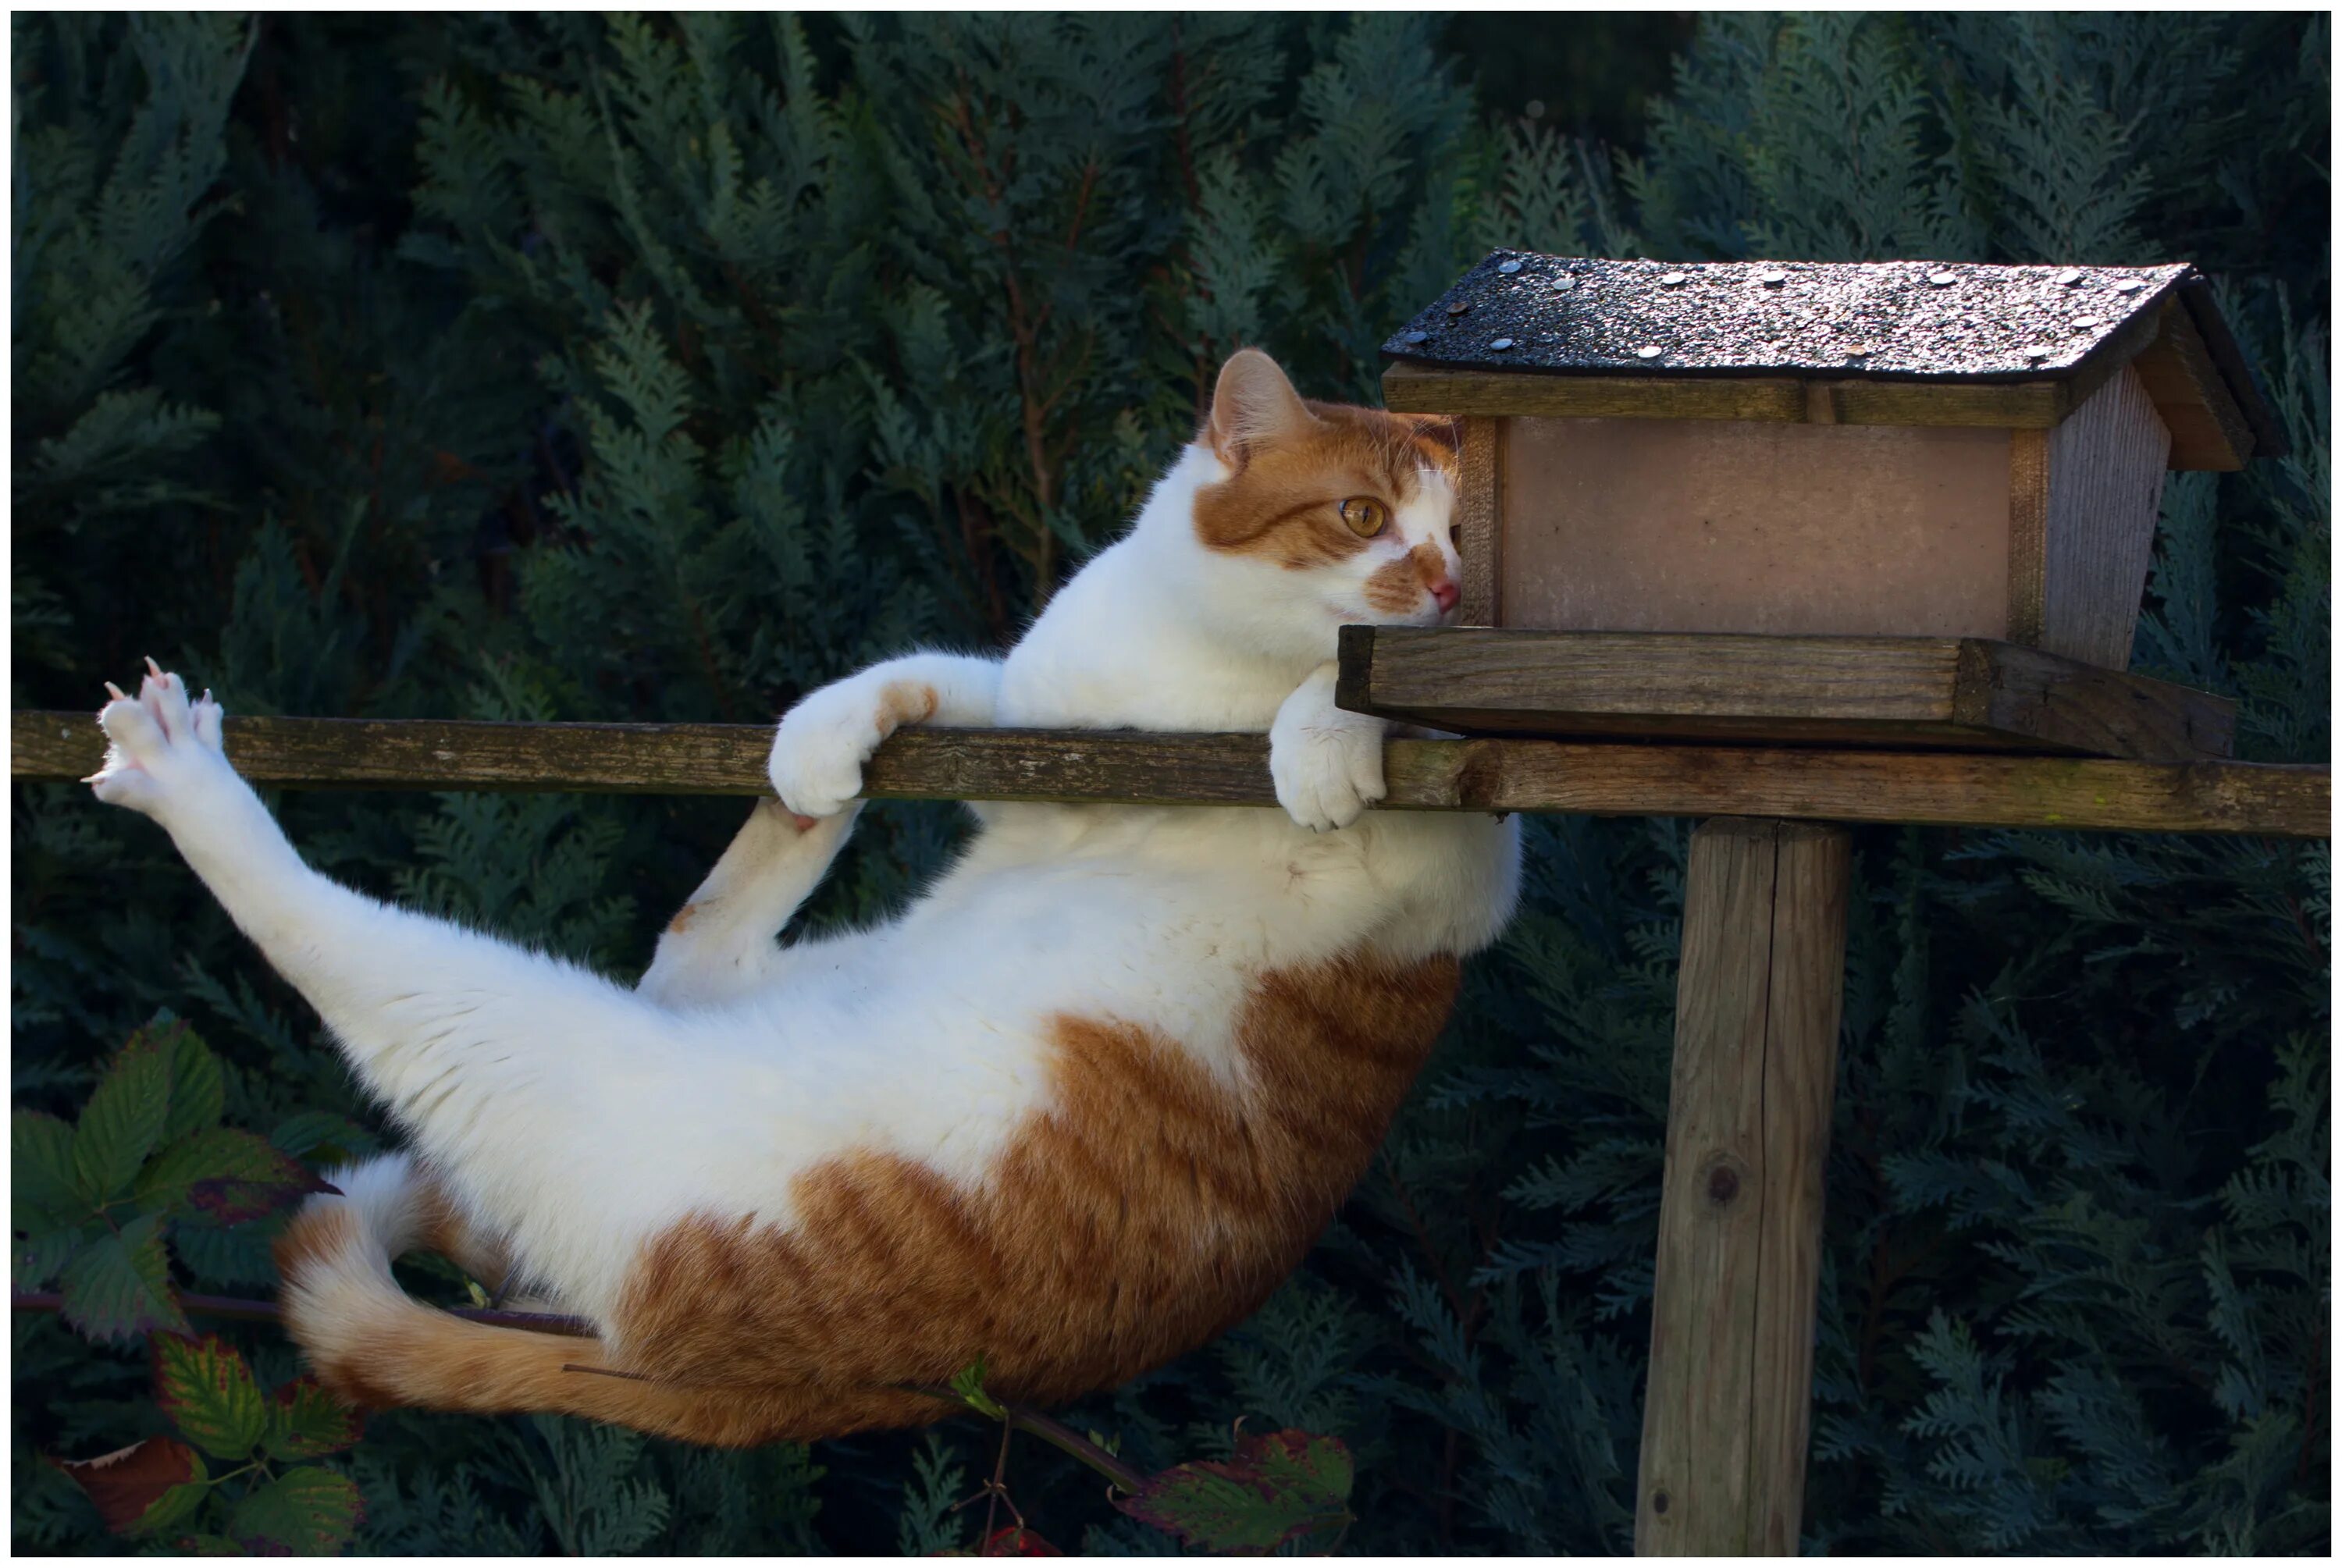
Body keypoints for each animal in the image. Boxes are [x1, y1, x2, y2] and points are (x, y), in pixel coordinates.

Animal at [87, 353, 1518, 1451]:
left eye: (1468, 543)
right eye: (1362, 514)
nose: (1450, 587)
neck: (1211, 685)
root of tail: (753, 1394)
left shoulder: (1462, 866)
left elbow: (1393, 697)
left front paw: (1328, 726)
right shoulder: (1045, 740)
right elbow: (931, 674)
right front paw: (823, 741)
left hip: (552, 1058)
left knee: (349, 943)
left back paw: (184, 778)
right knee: (674, 946)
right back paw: (798, 810)